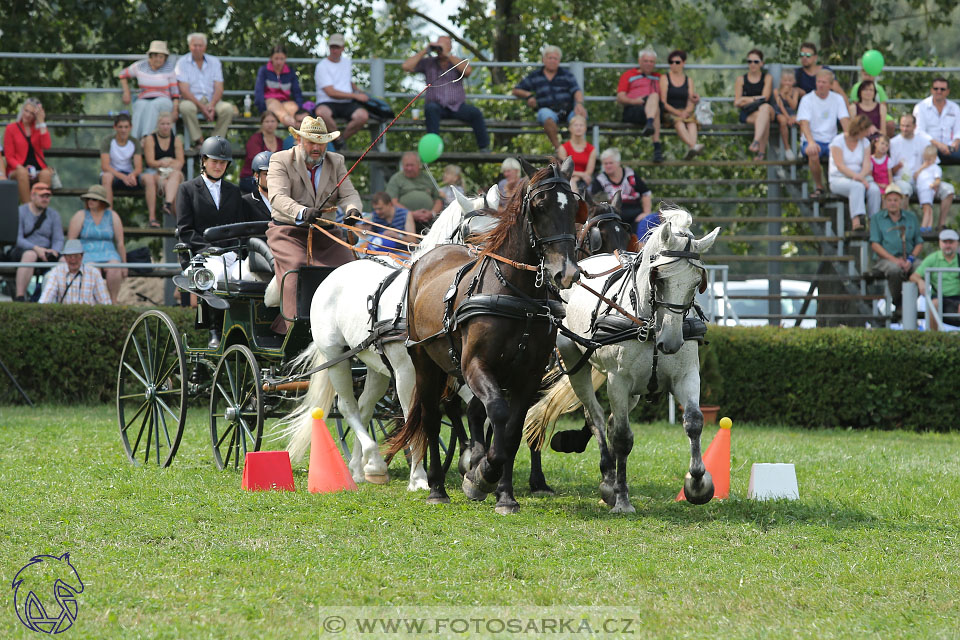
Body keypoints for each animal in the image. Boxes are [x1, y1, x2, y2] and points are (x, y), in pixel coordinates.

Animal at [272, 188, 492, 488]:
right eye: (473, 235)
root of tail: (335, 273)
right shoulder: (407, 373)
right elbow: (415, 415)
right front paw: (419, 478)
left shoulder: (456, 370)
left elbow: (478, 409)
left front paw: (471, 459)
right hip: (336, 358)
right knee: (348, 407)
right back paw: (374, 463)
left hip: (375, 366)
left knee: (365, 407)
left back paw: (358, 468)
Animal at [524, 208, 720, 512]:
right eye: (659, 278)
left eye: (696, 282)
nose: (671, 343)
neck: (650, 325)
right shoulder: (618, 381)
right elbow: (623, 438)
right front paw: (622, 498)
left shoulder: (687, 376)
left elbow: (694, 421)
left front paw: (698, 483)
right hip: (576, 366)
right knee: (596, 417)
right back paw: (608, 480)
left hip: (635, 391)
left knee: (611, 420)